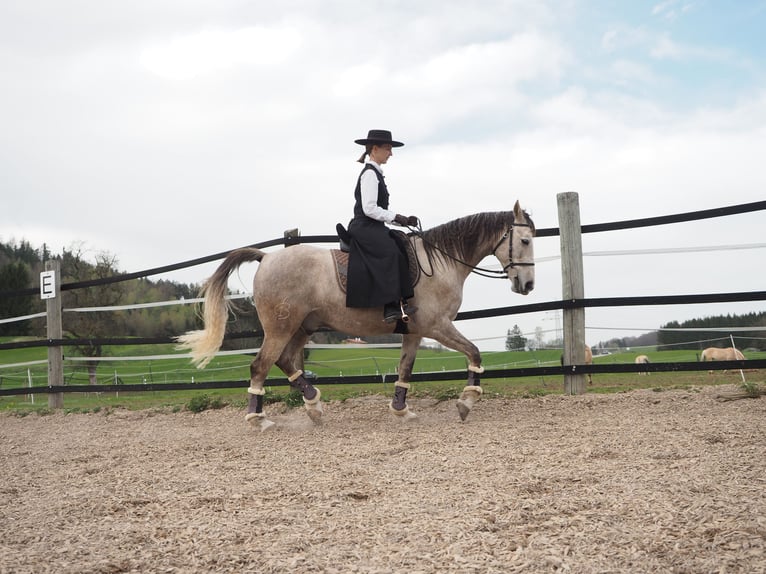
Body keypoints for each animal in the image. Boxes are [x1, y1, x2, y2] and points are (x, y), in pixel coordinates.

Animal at [177, 201, 536, 430]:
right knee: (260, 366)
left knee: (286, 361)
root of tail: (267, 258)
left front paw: (402, 411)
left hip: (301, 328)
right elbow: (474, 353)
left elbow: (405, 368)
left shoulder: (415, 331)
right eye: (525, 240)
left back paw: (314, 406)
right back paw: (260, 419)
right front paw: (467, 401)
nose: (528, 284)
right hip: (281, 327)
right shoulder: (437, 326)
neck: (439, 262)